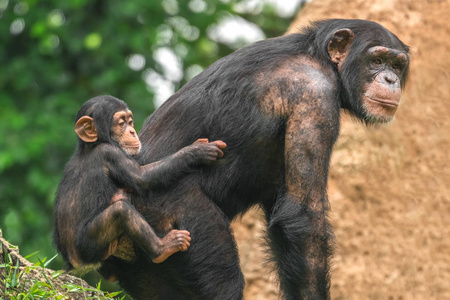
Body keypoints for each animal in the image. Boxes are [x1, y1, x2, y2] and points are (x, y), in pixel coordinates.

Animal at [53, 95, 227, 274]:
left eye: (130, 122)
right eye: (121, 123)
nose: (132, 131)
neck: (90, 146)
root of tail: (75, 262)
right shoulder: (111, 154)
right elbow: (142, 177)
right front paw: (197, 150)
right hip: (88, 245)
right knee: (121, 211)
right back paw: (163, 248)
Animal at [103, 19, 410, 298]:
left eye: (397, 66)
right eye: (377, 60)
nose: (390, 79)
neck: (321, 59)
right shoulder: (314, 96)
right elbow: (304, 216)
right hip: (167, 215)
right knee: (223, 281)